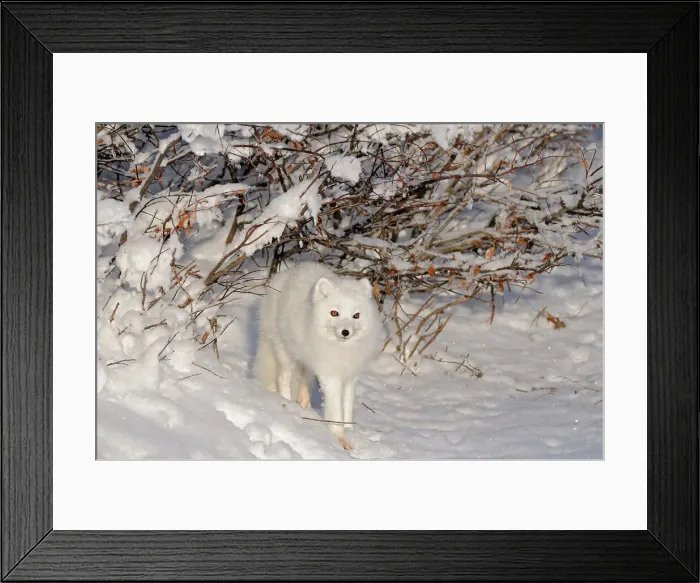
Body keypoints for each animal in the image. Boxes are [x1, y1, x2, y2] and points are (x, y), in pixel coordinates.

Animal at [254, 261, 383, 450]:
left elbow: (347, 404)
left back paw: (304, 403)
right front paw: (340, 438)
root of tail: (281, 276)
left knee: (304, 379)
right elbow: (336, 408)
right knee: (283, 378)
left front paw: (349, 429)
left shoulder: (351, 375)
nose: (345, 332)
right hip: (284, 352)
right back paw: (287, 404)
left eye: (356, 315)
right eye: (334, 313)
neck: (342, 350)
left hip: (306, 358)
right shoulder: (331, 376)